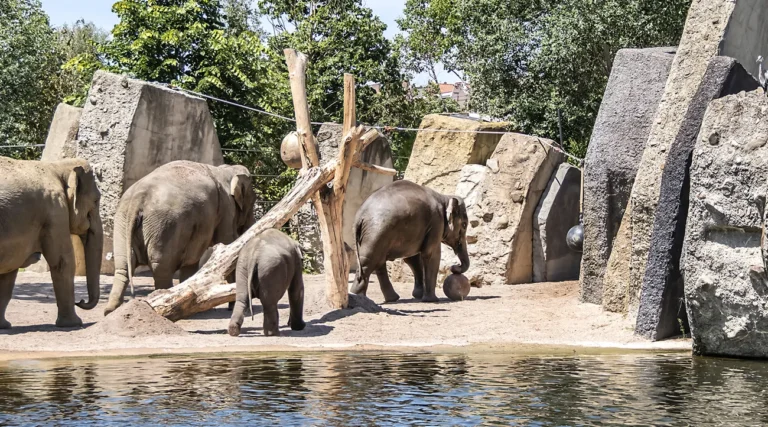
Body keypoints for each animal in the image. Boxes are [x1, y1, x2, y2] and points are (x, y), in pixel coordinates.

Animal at [0, 157, 103, 328]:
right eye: (96, 200)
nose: (81, 301)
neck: (57, 165)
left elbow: (10, 269)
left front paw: (4, 325)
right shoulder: (55, 211)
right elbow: (64, 262)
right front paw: (73, 324)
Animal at [104, 160, 256, 315]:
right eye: (253, 203)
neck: (226, 170)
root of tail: (138, 198)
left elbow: (192, 260)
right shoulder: (226, 207)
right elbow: (227, 242)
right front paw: (232, 306)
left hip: (122, 221)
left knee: (122, 265)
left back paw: (110, 310)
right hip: (164, 226)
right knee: (161, 267)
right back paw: (161, 303)